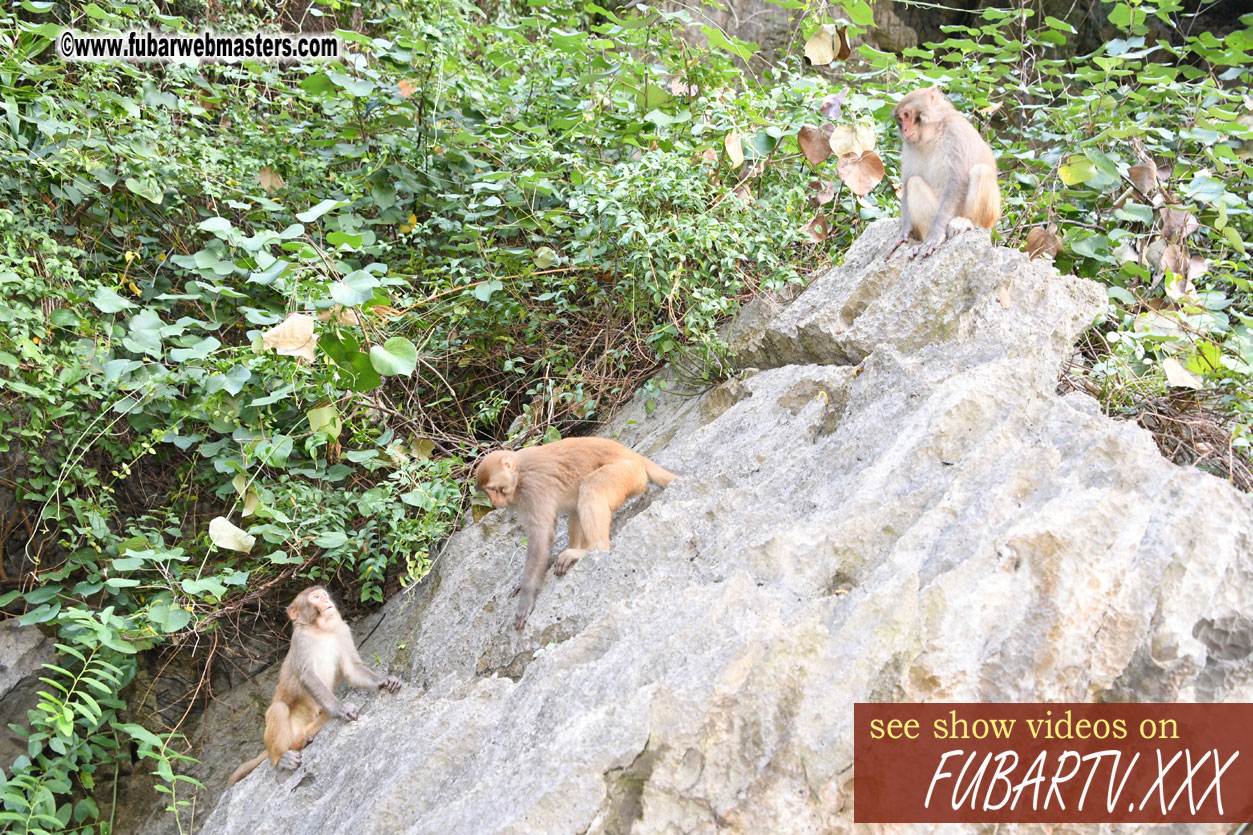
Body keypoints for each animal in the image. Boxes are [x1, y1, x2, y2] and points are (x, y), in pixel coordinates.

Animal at [226, 581, 400, 782]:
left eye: (323, 595)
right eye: (315, 598)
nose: (325, 599)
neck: (321, 630)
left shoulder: (343, 630)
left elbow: (352, 669)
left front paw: (384, 681)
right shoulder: (300, 640)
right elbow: (308, 675)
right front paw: (340, 708)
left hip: (313, 723)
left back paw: (304, 741)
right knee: (279, 709)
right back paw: (281, 757)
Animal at [473, 438, 676, 626]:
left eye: (492, 488)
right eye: (487, 491)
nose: (494, 502)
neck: (518, 474)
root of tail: (633, 455)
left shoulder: (532, 490)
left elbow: (542, 535)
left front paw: (526, 596)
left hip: (625, 473)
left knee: (590, 488)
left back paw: (591, 549)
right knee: (577, 502)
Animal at [887, 85, 1002, 258]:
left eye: (907, 115)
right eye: (900, 119)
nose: (905, 129)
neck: (932, 134)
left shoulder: (955, 133)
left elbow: (957, 181)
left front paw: (936, 235)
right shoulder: (908, 146)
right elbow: (907, 184)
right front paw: (904, 232)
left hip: (990, 218)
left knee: (981, 171)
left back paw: (966, 223)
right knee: (915, 182)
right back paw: (923, 242)